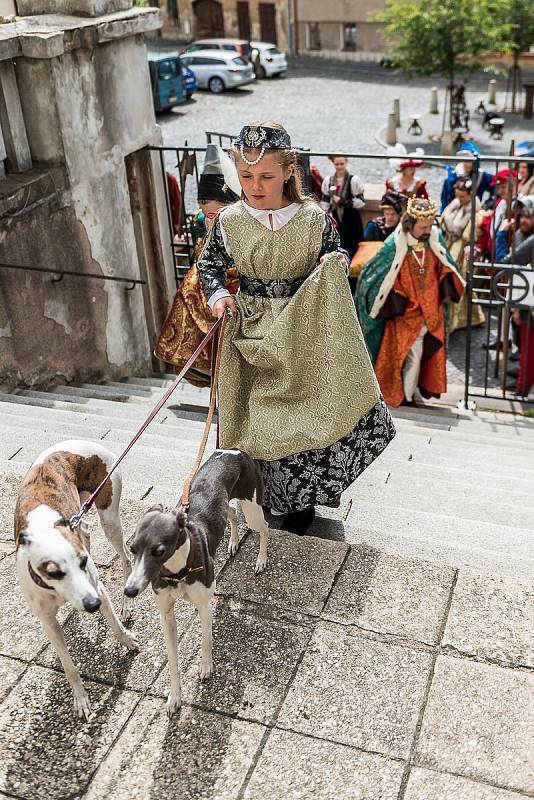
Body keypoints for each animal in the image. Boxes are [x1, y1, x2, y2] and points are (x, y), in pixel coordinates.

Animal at [15, 440, 139, 720]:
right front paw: (80, 698)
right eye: (53, 571)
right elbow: (68, 664)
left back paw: (126, 605)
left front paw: (128, 641)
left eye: (81, 563)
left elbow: (115, 625)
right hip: (82, 515)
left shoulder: (98, 588)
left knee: (126, 557)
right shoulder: (48, 621)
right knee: (87, 531)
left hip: (109, 515)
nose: (92, 605)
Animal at [124, 446, 270, 716]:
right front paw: (174, 697)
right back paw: (233, 542)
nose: (129, 591)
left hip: (252, 505)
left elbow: (206, 638)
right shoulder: (166, 614)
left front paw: (205, 668)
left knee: (263, 527)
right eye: (132, 548)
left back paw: (261, 560)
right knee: (231, 513)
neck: (177, 571)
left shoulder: (204, 605)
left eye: (159, 551)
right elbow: (172, 659)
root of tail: (235, 450)